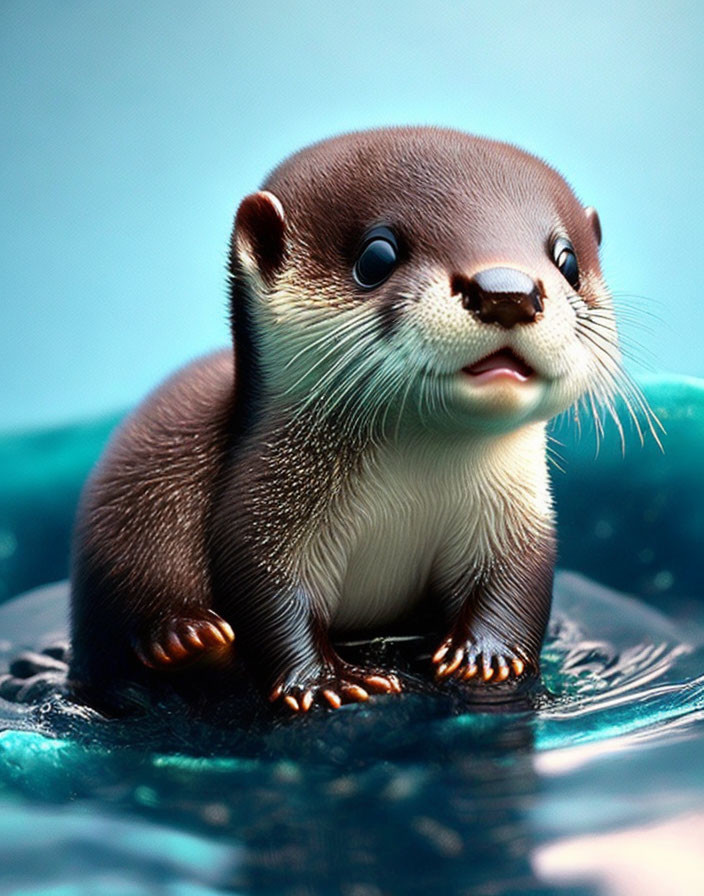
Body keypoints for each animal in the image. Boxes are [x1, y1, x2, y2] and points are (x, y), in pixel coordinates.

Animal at [69, 126, 612, 712]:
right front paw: (326, 680)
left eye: (567, 261)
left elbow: (517, 586)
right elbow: (268, 593)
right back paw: (187, 639)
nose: (507, 290)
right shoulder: (263, 508)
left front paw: (488, 657)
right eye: (377, 256)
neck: (411, 492)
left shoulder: (519, 517)